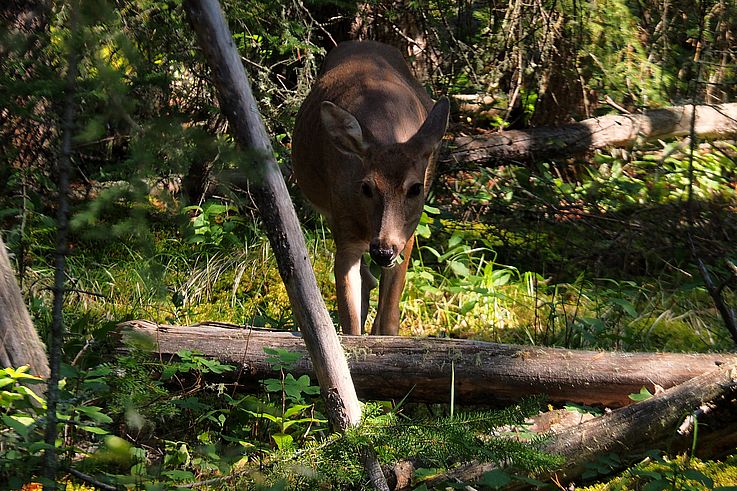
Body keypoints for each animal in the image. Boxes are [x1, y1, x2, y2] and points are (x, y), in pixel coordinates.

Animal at [292, 40, 449, 336]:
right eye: (365, 187)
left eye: (415, 188)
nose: (383, 250)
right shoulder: (346, 233)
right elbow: (350, 321)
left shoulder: (407, 233)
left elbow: (390, 318)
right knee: (366, 280)